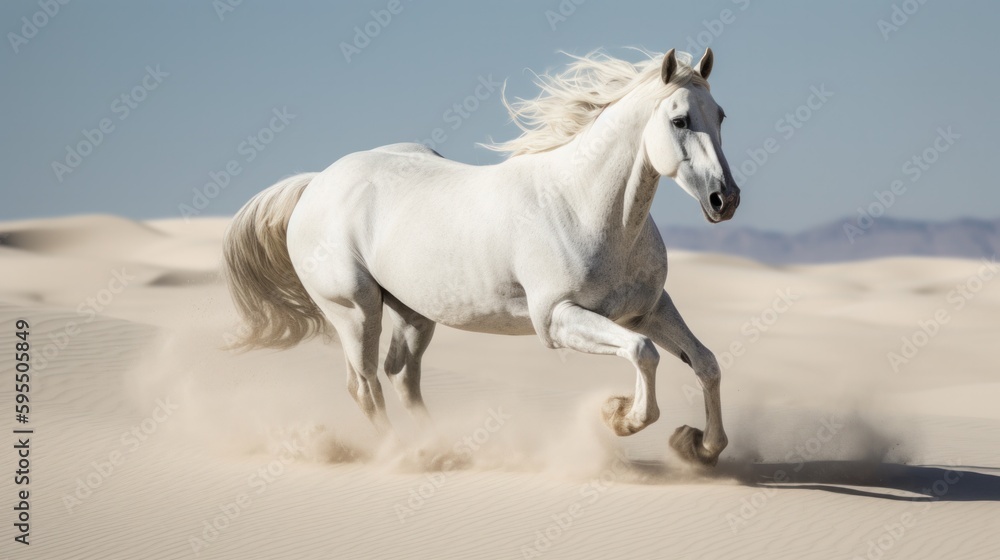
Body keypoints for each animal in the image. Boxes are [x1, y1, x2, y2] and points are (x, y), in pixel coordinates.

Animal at [223, 48, 740, 466]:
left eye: (720, 115)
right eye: (679, 120)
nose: (725, 200)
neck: (583, 205)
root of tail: (316, 183)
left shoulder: (647, 309)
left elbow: (706, 362)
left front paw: (700, 446)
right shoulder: (558, 319)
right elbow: (643, 353)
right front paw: (618, 416)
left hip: (414, 314)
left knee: (401, 378)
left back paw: (441, 449)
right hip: (355, 310)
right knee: (365, 387)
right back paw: (405, 455)